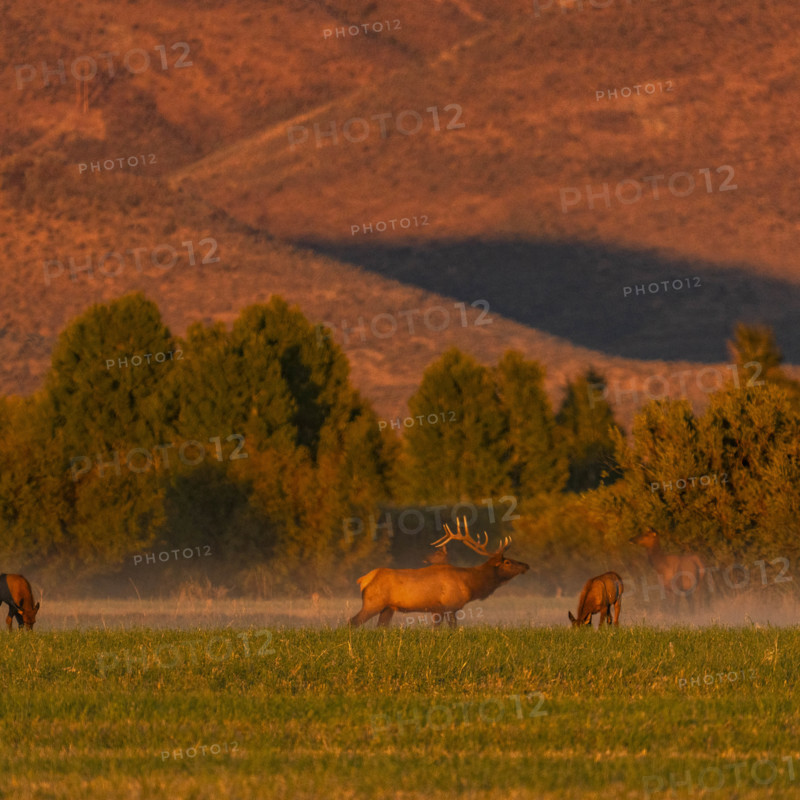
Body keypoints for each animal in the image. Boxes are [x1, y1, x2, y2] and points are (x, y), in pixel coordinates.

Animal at [349, 518, 529, 628]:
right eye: (507, 562)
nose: (526, 565)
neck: (470, 584)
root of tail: (363, 579)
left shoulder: (438, 609)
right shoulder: (450, 606)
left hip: (388, 607)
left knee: (381, 626)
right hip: (373, 603)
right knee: (353, 621)